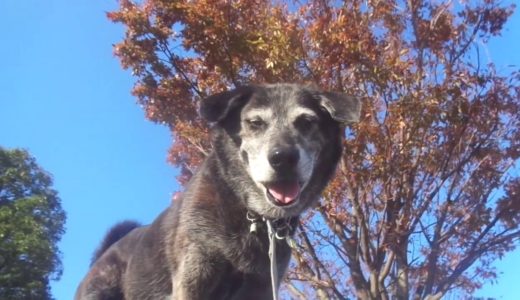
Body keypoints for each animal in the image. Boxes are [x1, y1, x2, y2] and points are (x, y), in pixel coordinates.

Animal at [75, 83, 360, 298]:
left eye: (306, 122)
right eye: (255, 123)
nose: (283, 158)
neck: (250, 213)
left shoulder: (261, 287)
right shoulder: (194, 277)